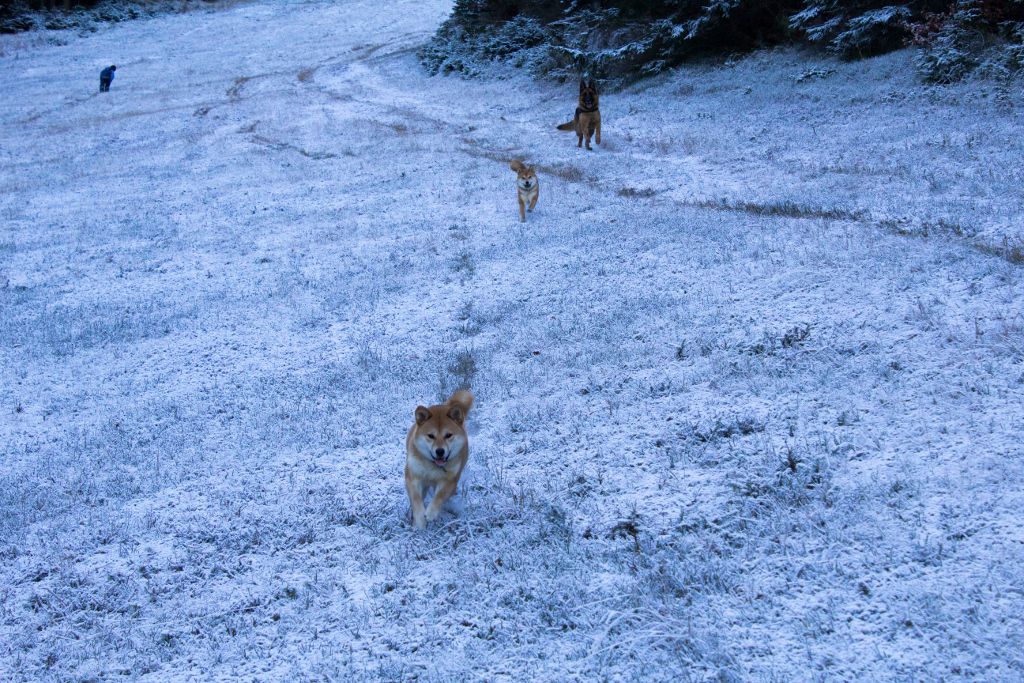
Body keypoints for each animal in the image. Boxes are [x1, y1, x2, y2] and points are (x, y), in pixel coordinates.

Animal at [403, 389, 475, 528]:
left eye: (448, 435)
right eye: (431, 436)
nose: (440, 451)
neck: (432, 466)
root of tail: (445, 405)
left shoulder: (449, 479)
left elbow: (440, 495)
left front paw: (431, 512)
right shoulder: (413, 476)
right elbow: (416, 498)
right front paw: (419, 520)